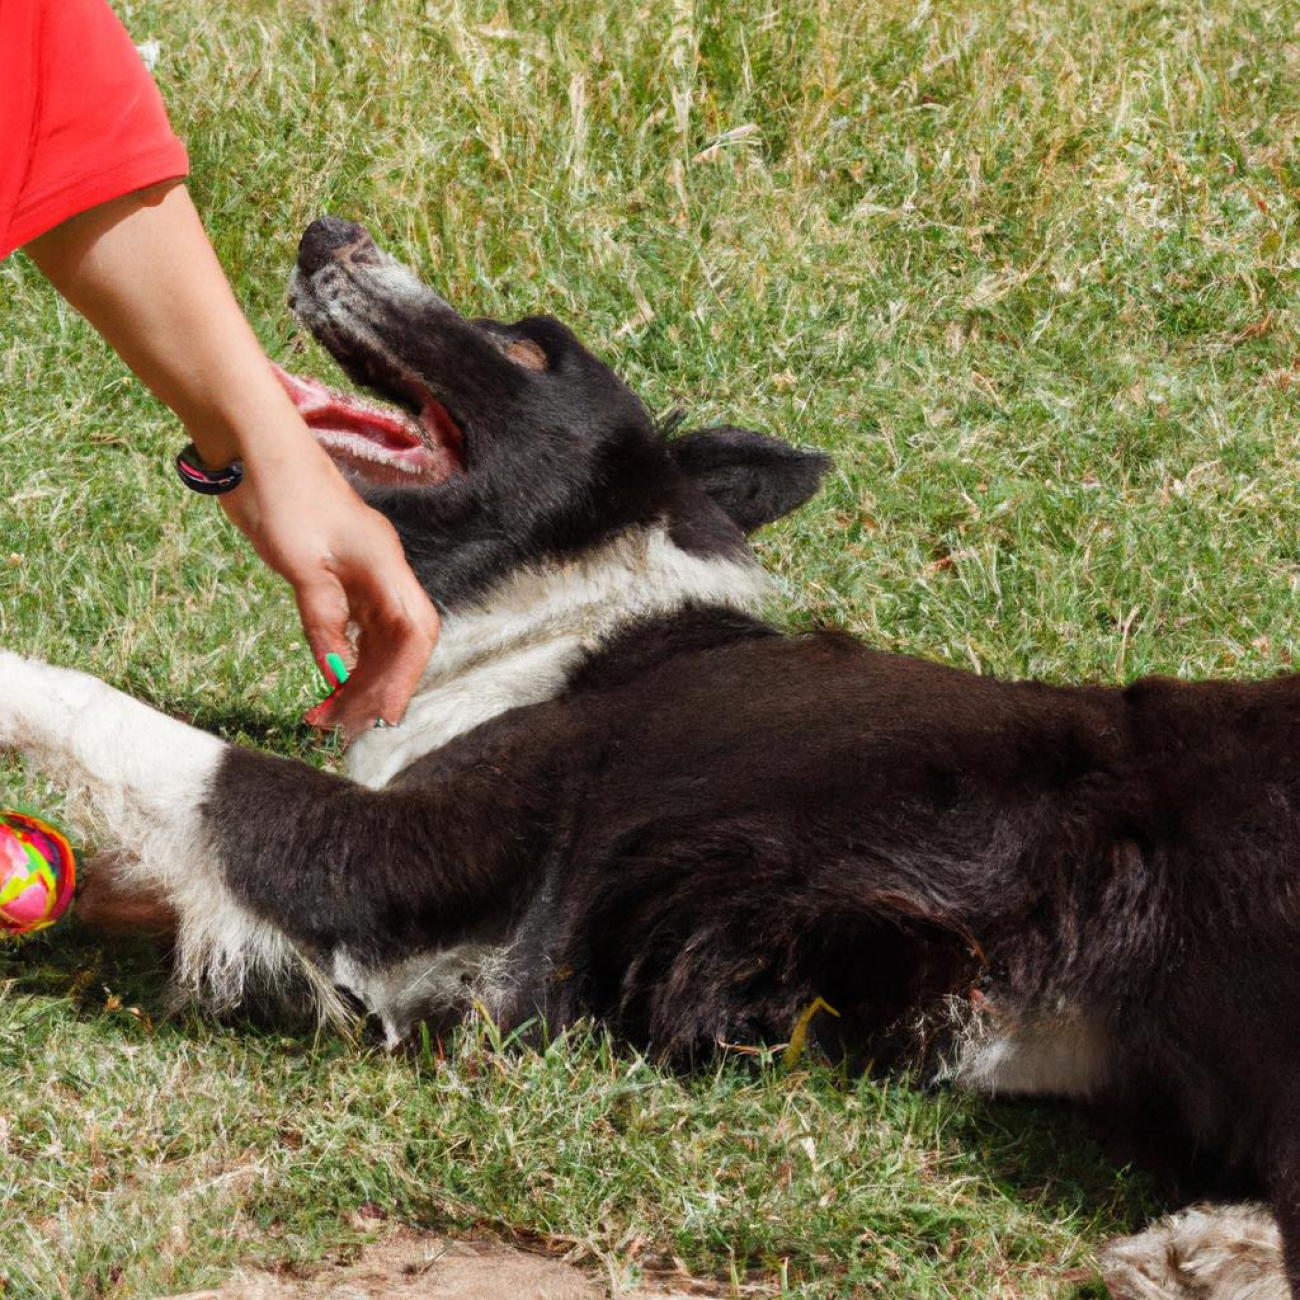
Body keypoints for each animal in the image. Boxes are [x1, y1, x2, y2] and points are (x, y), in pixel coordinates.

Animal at [2, 218, 1300, 1294]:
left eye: (529, 348)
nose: (329, 226)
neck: (553, 602)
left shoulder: (402, 861)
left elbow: (143, 734)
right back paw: (1209, 1249)